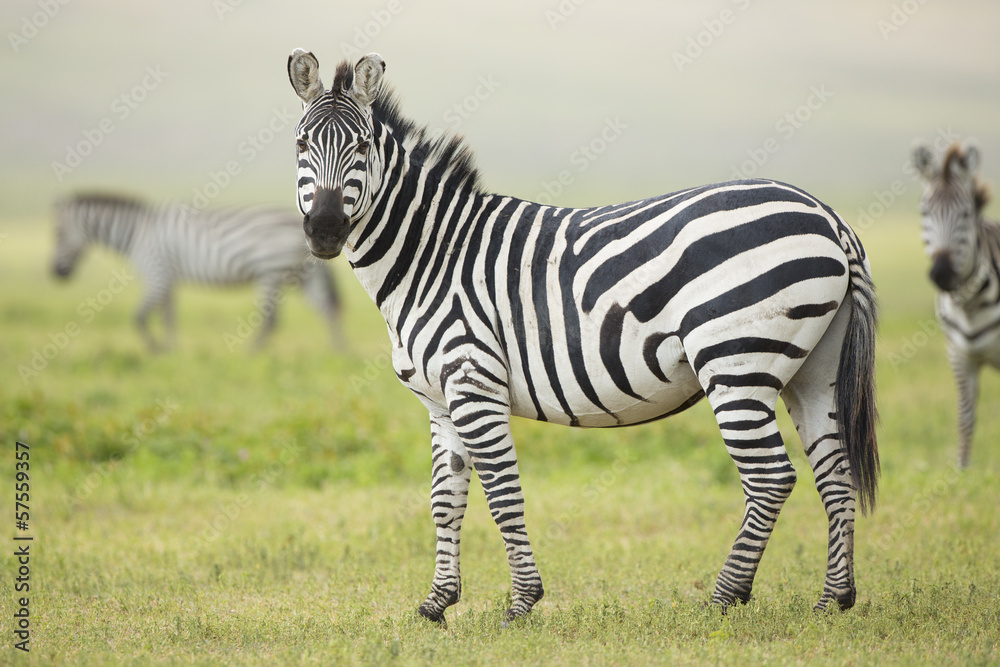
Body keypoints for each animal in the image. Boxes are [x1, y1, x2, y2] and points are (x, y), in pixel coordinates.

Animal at [51, 193, 344, 351]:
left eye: (58, 233)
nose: (56, 273)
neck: (136, 233)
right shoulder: (168, 279)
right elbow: (168, 316)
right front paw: (169, 349)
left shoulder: (157, 272)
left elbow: (140, 317)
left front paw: (155, 349)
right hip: (304, 274)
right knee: (327, 308)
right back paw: (339, 350)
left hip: (270, 272)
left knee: (272, 319)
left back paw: (252, 351)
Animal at [288, 50, 879, 623]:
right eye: (300, 144)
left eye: (362, 145)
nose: (324, 231)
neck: (433, 255)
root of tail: (828, 216)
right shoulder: (440, 400)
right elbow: (445, 499)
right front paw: (438, 604)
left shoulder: (474, 382)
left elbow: (502, 493)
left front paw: (521, 602)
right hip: (813, 369)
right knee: (835, 471)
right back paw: (833, 600)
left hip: (736, 363)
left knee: (771, 477)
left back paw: (724, 599)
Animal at [912, 141, 997, 468]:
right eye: (925, 212)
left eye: (965, 213)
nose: (942, 273)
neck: (971, 304)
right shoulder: (959, 355)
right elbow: (965, 416)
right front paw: (962, 469)